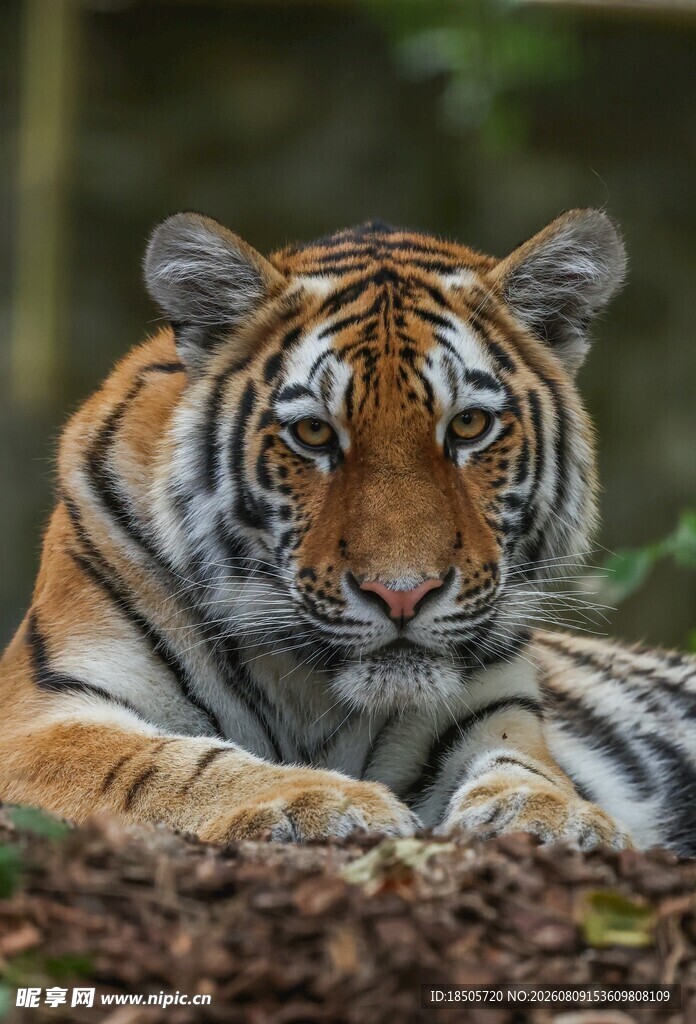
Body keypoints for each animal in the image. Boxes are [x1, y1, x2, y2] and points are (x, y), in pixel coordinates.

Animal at [0, 209, 694, 856]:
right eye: (314, 433)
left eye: (468, 425)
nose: (402, 595)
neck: (307, 689)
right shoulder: (41, 714)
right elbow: (164, 765)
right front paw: (319, 799)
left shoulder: (492, 710)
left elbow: (523, 766)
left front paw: (556, 817)